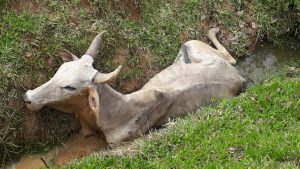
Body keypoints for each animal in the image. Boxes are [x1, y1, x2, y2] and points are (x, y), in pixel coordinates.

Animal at [24, 27, 246, 145]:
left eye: (69, 87)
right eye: (59, 70)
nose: (28, 97)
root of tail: (238, 77)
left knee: (232, 57)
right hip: (190, 45)